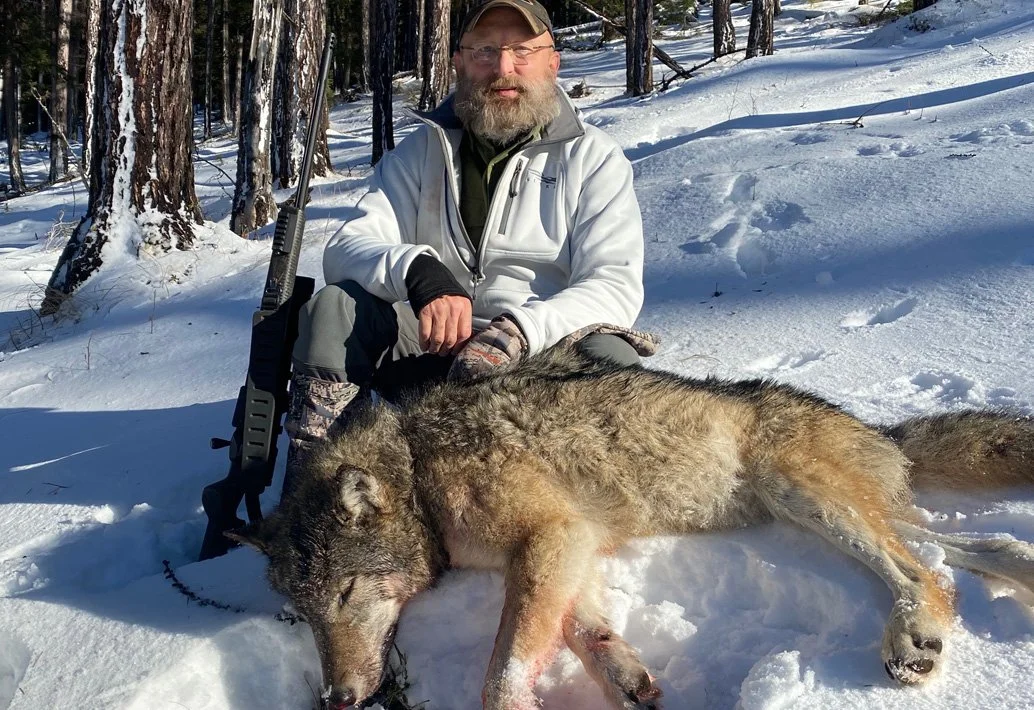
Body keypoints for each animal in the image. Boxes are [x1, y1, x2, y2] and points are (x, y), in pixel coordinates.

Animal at [228, 344, 1034, 710]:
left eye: (345, 595)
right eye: (301, 615)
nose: (337, 700)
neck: (420, 469)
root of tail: (880, 429)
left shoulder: (551, 536)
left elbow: (502, 672)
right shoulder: (567, 548)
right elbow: (584, 631)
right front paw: (627, 681)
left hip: (802, 496)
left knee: (924, 569)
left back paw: (914, 639)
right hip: (826, 509)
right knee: (972, 547)